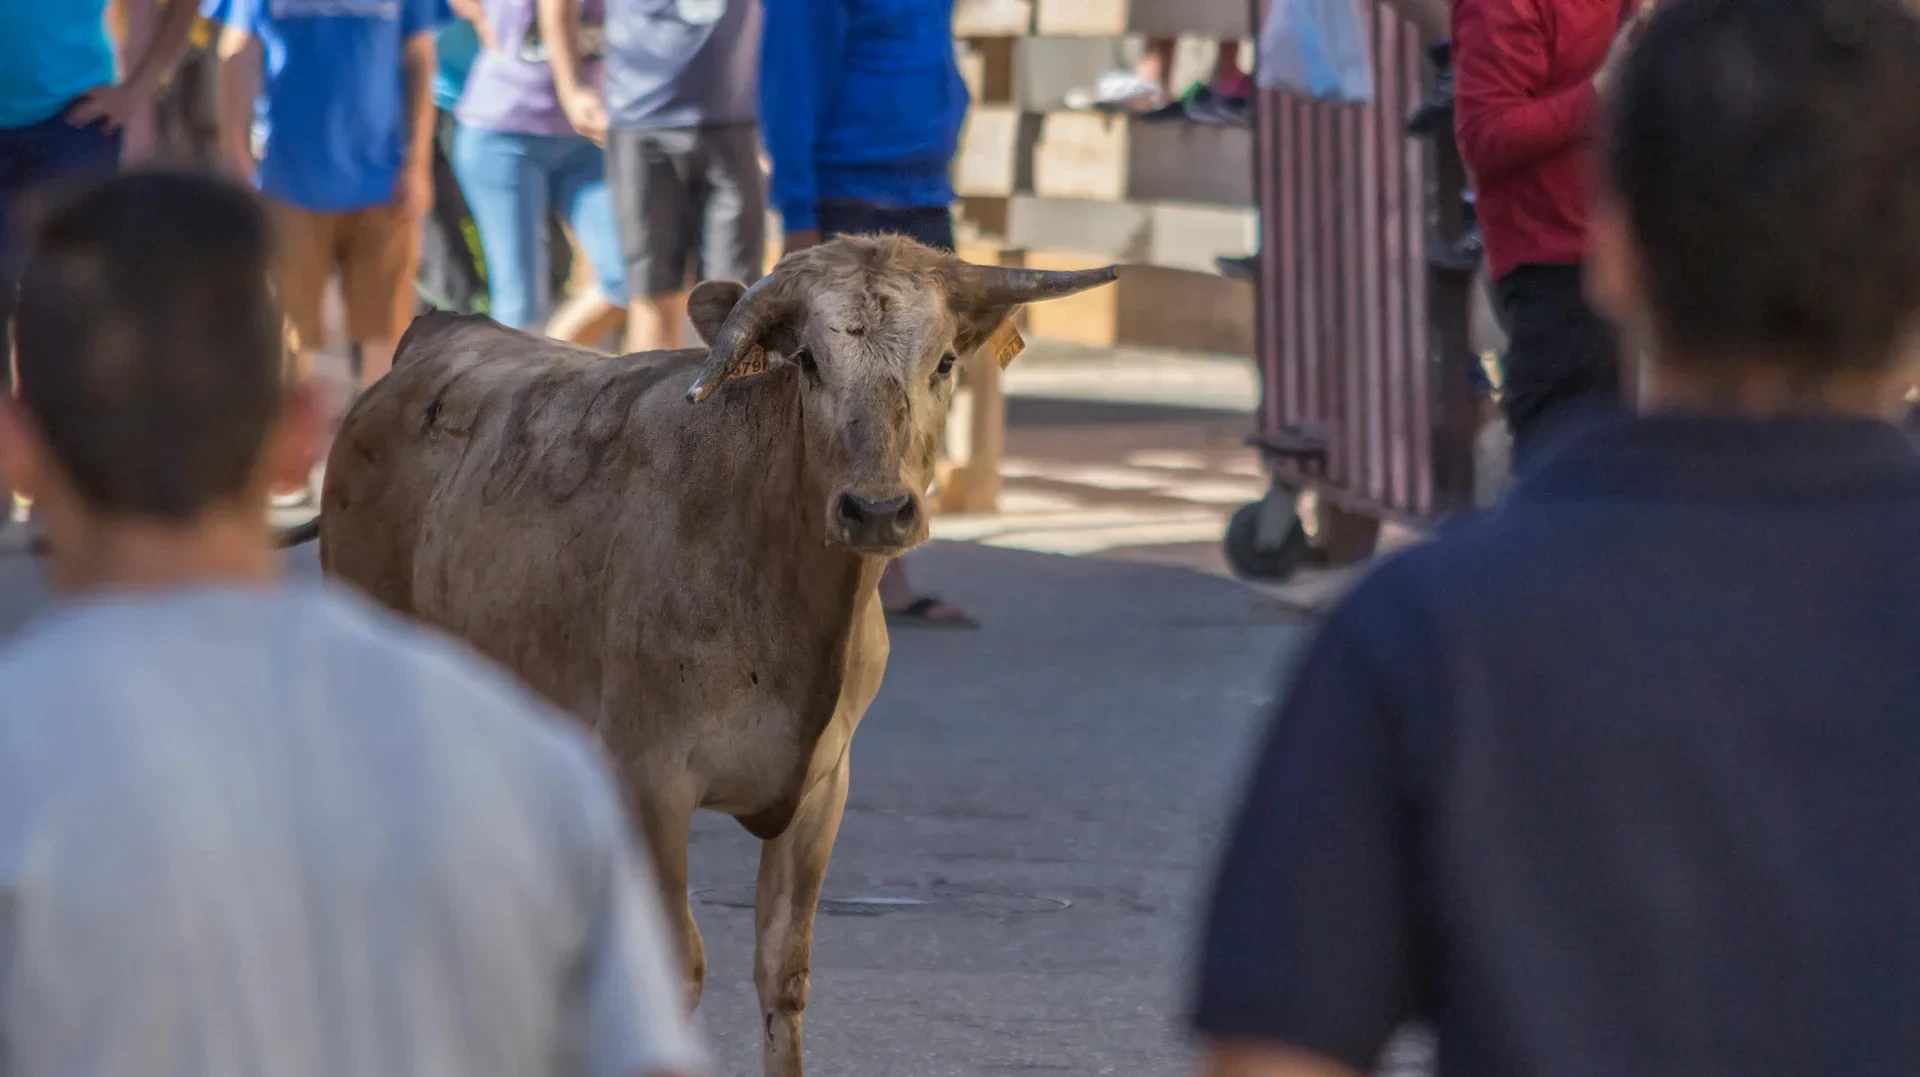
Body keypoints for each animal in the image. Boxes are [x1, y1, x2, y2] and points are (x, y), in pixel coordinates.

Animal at [305, 237, 1121, 1075]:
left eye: (946, 360)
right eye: (809, 361)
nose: (876, 510)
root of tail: (436, 334)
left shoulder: (824, 786)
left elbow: (782, 969)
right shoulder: (650, 777)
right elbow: (677, 965)